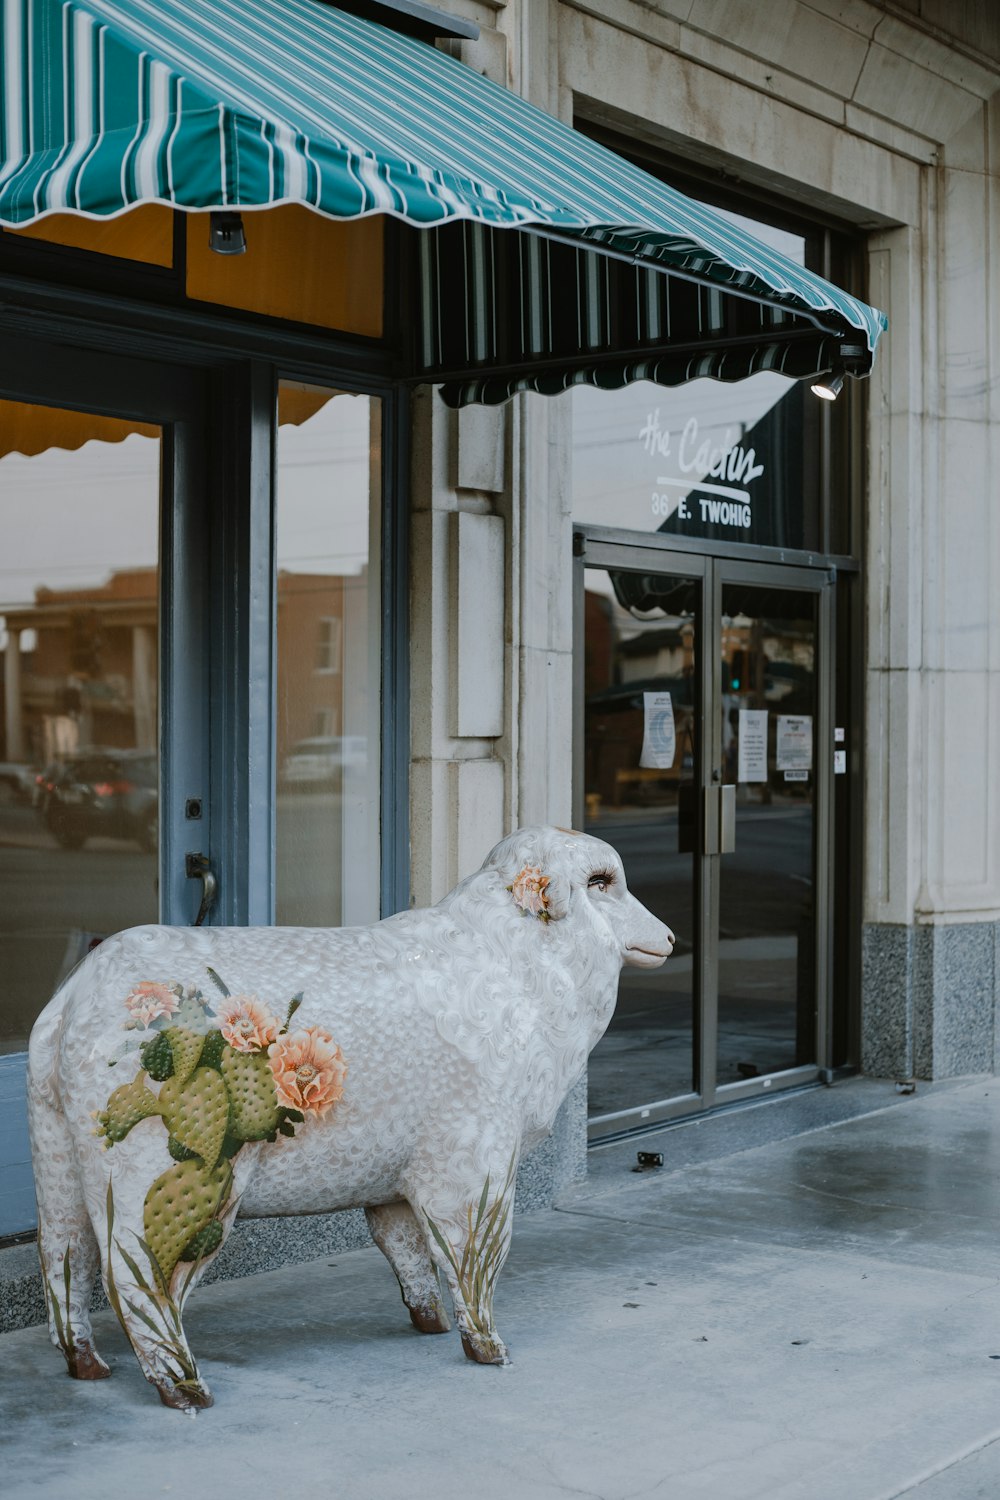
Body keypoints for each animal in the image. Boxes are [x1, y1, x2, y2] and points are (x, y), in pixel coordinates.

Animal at [27, 828, 677, 1410]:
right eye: (601, 883)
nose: (670, 937)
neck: (518, 975)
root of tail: (74, 1002)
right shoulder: (473, 1166)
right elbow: (472, 1259)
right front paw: (487, 1347)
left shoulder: (398, 1179)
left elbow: (407, 1249)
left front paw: (431, 1323)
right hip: (160, 1185)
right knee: (138, 1281)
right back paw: (183, 1388)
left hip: (60, 1166)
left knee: (64, 1259)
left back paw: (86, 1363)